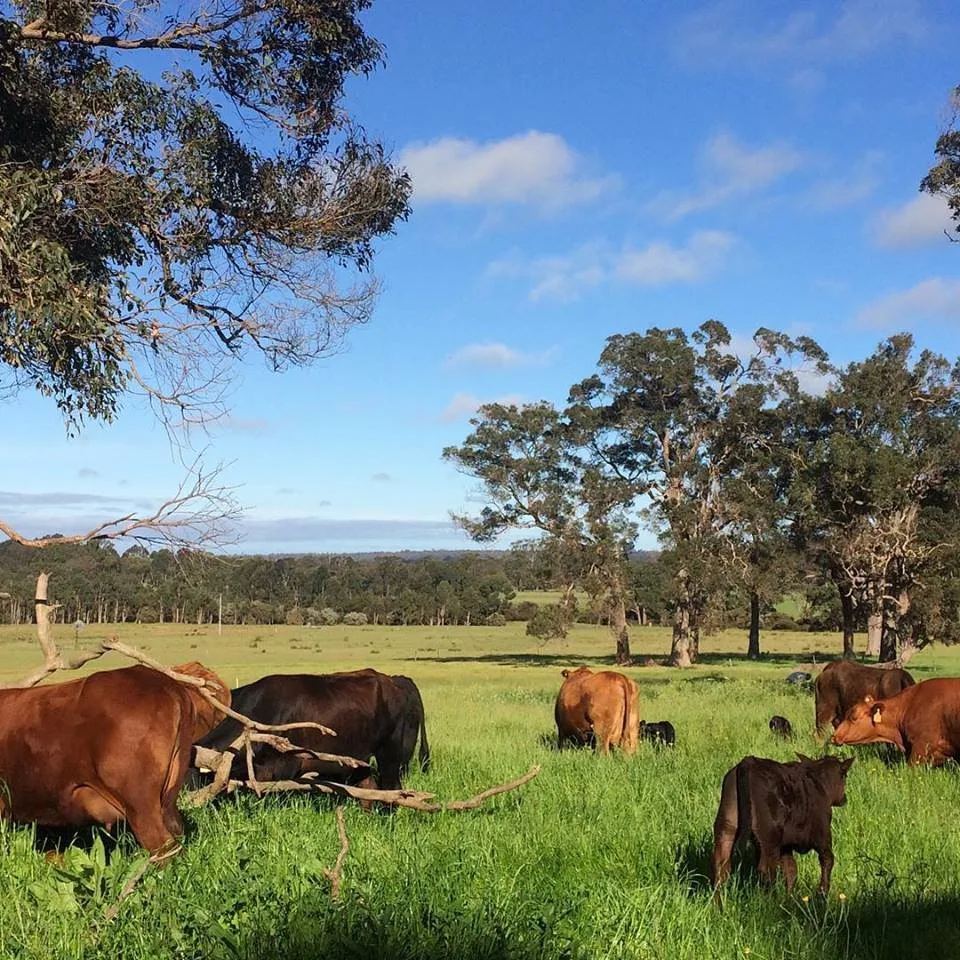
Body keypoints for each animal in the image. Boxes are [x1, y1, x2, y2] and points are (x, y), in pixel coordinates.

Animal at [710, 754, 854, 896]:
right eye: (845, 775)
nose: (844, 798)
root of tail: (749, 761)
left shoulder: (786, 845)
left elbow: (790, 869)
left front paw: (789, 896)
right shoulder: (822, 834)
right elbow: (827, 860)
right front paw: (822, 893)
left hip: (726, 827)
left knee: (721, 866)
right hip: (770, 835)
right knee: (766, 869)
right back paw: (771, 898)